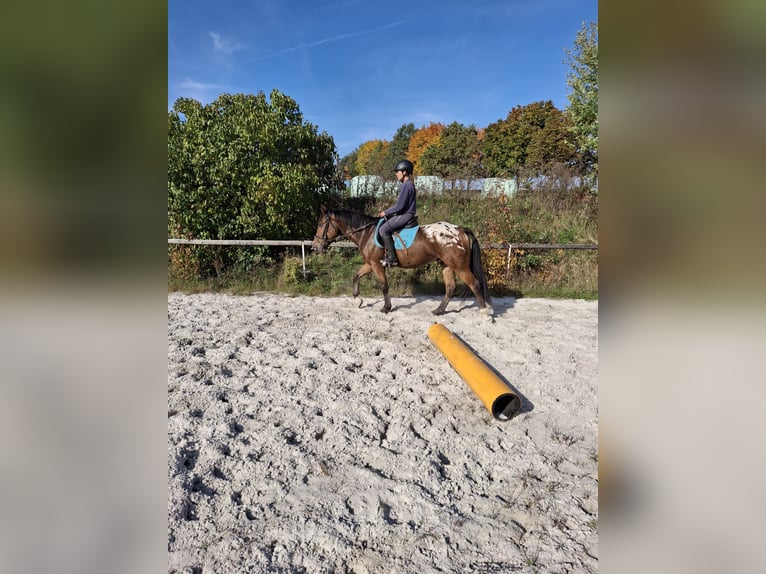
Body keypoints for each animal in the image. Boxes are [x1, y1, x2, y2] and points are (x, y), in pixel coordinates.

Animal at [310, 206, 492, 320]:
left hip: (459, 266)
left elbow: (384, 286)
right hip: (446, 265)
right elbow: (356, 276)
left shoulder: (377, 265)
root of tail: (460, 229)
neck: (366, 232)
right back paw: (438, 311)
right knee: (450, 287)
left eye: (320, 224)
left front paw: (386, 308)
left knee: (474, 284)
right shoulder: (370, 263)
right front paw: (358, 300)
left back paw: (485, 312)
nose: (314, 247)